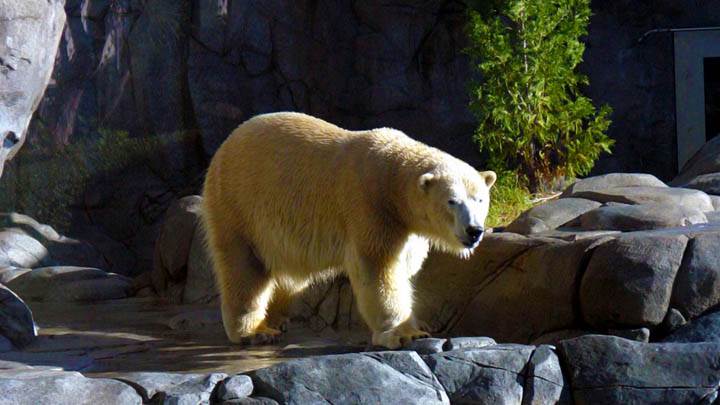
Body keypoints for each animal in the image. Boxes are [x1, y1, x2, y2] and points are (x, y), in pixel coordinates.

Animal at [200, 112, 496, 349]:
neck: (391, 179)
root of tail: (225, 146)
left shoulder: (407, 227)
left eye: (480, 199)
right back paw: (255, 331)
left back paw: (278, 319)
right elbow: (378, 269)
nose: (474, 230)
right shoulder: (370, 207)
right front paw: (404, 333)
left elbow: (406, 265)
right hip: (238, 205)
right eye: (452, 201)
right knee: (244, 268)